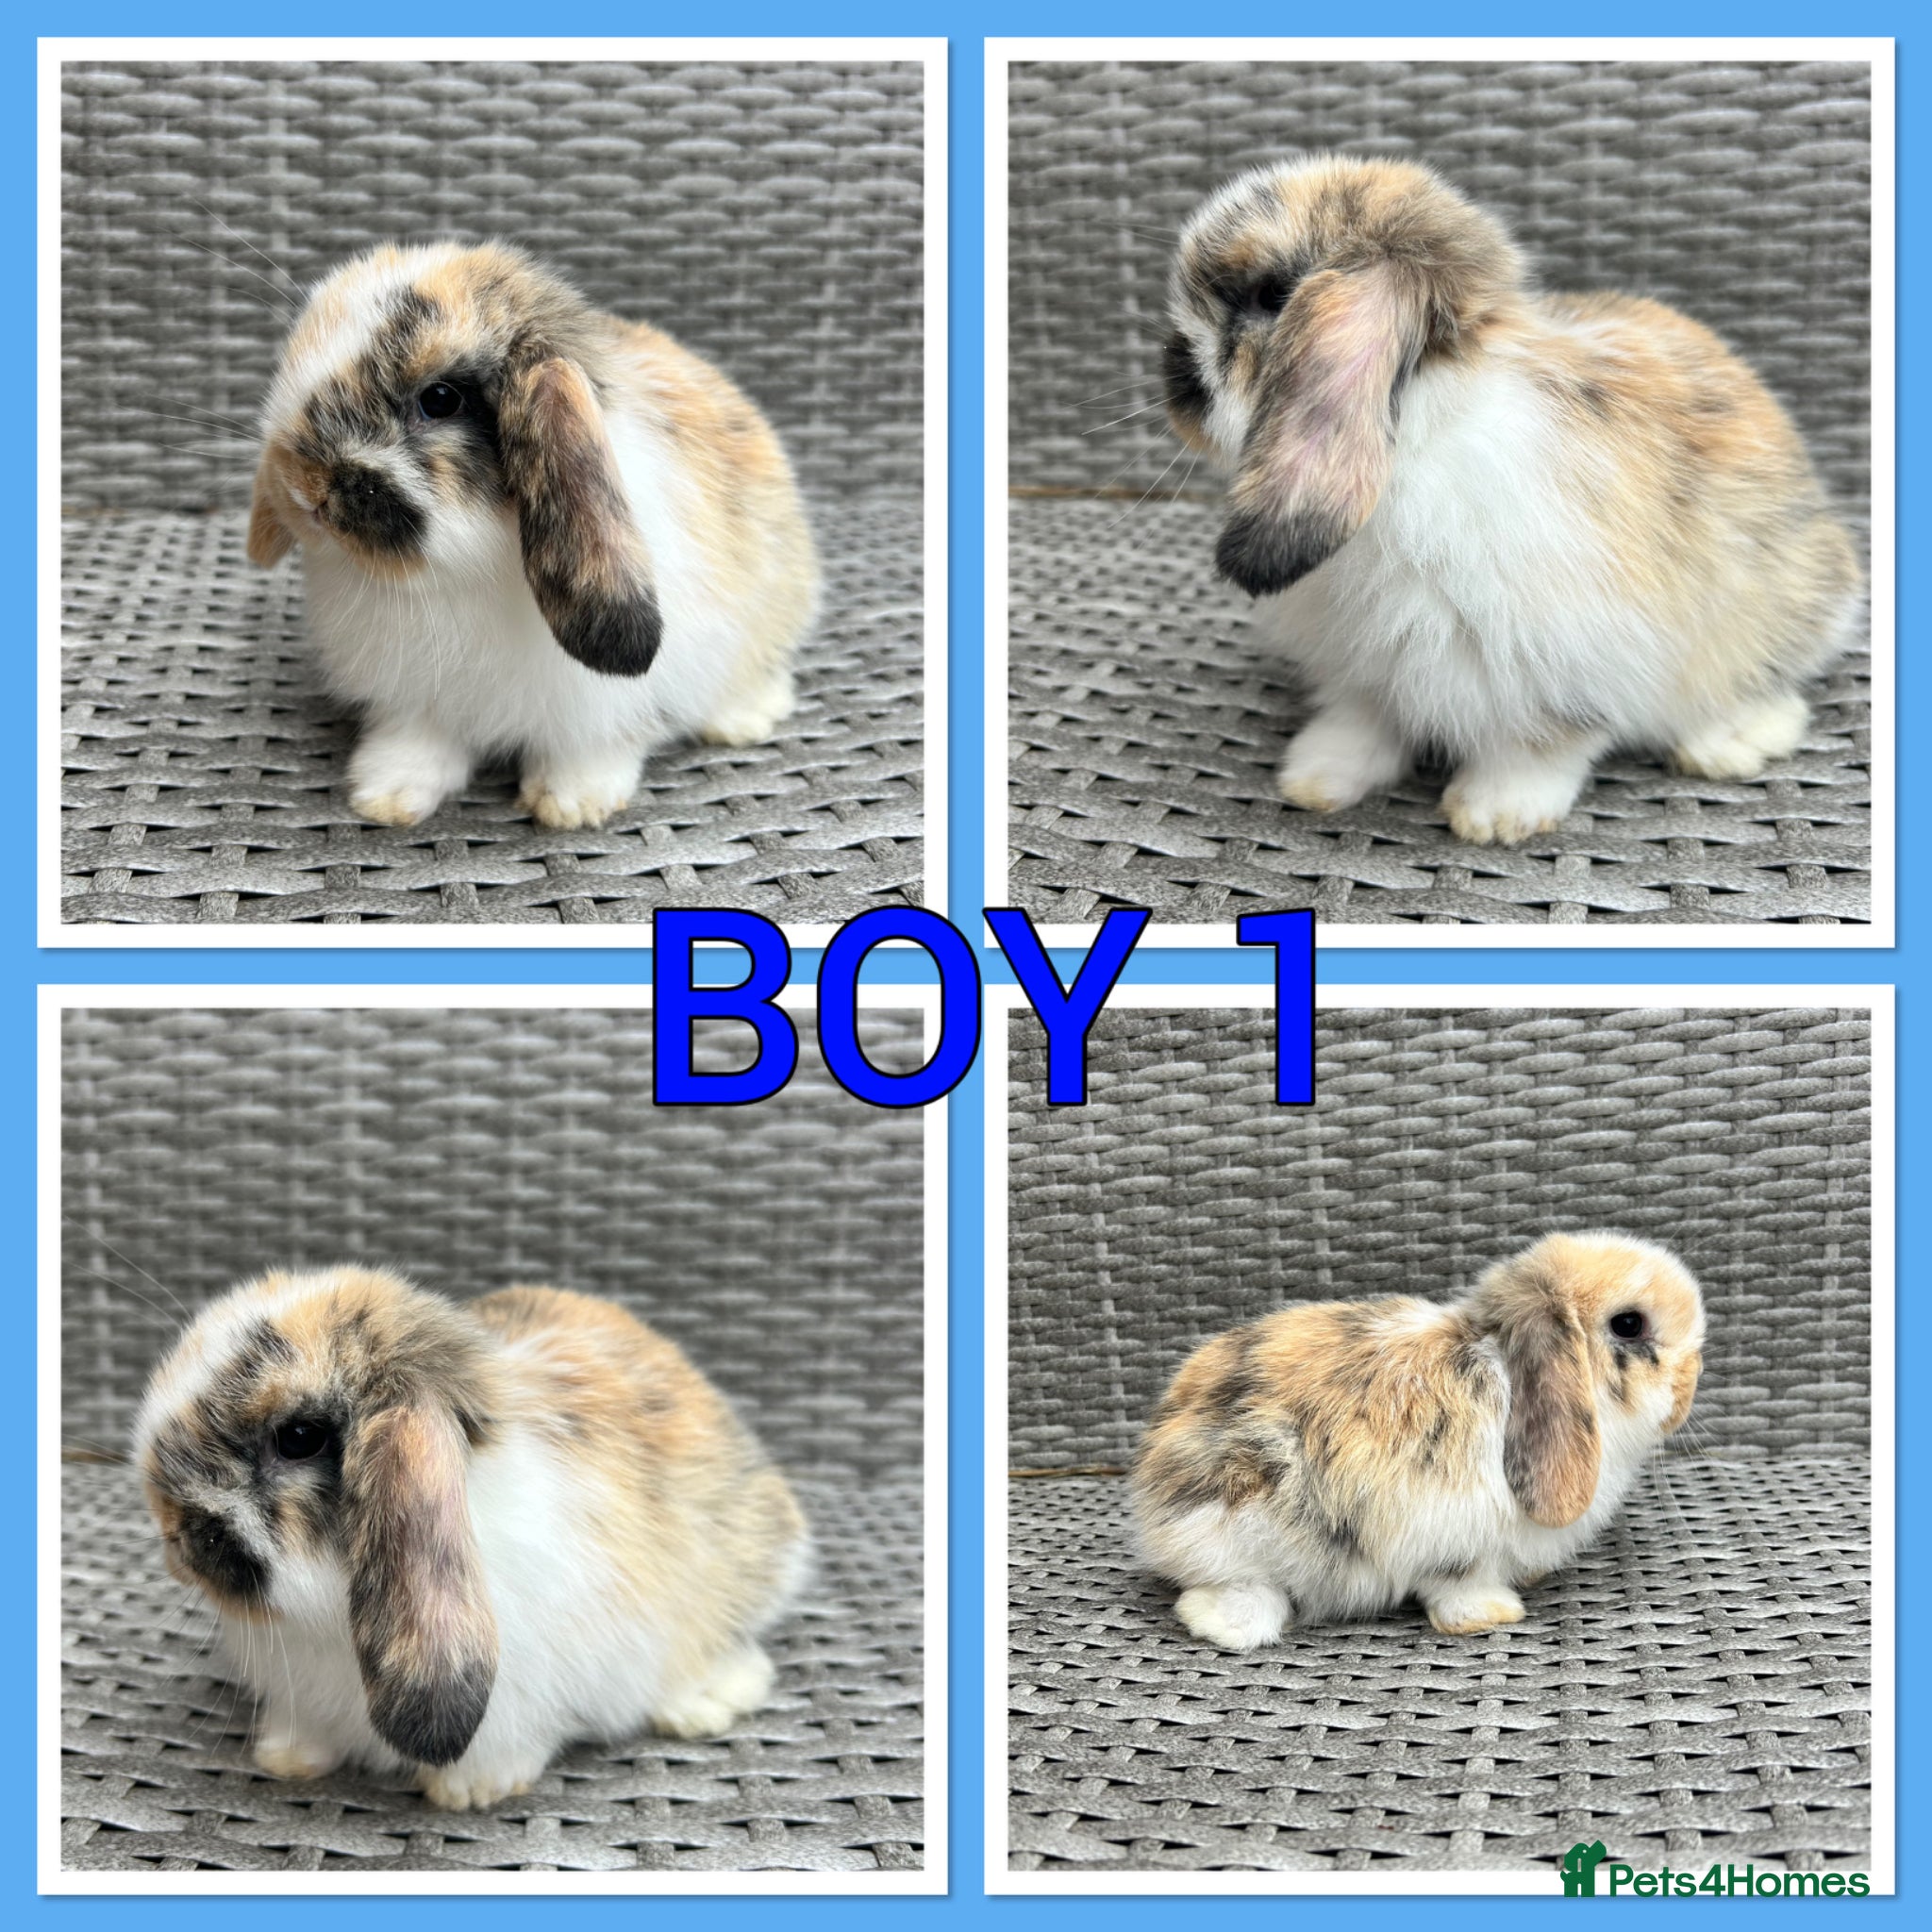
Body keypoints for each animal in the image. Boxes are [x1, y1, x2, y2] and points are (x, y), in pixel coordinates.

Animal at [133, 1266, 811, 1810]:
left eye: (299, 1437)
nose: (175, 1540)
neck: (325, 1622)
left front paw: (469, 1792)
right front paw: (285, 1758)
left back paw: (705, 1701)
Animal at [246, 241, 819, 830]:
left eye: (441, 399)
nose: (304, 488)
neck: (457, 575)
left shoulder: (604, 707)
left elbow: (595, 748)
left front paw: (572, 804)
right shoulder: (420, 700)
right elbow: (419, 743)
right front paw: (386, 795)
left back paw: (746, 717)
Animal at [1131, 1232, 1704, 1648]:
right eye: (1628, 1324)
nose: (1689, 1388)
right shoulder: (1459, 1538)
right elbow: (1459, 1585)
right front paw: (1491, 1615)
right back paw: (1230, 1626)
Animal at [1162, 154, 1863, 845]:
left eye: (1270, 297)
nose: (1172, 370)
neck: (1420, 435)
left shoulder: (1563, 662)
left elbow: (1541, 744)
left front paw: (1495, 817)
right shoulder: (1364, 662)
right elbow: (1362, 719)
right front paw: (1316, 778)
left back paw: (1734, 741)